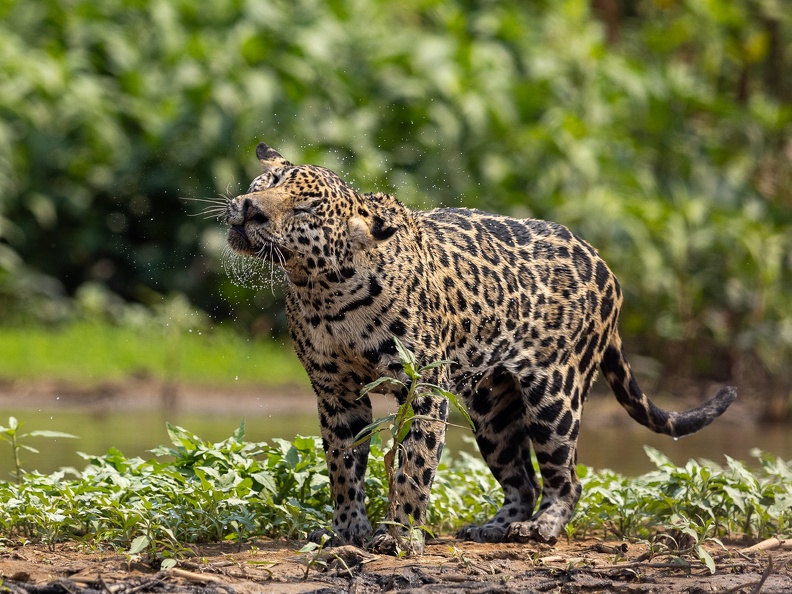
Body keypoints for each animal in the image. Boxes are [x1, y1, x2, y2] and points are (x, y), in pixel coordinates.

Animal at [224, 142, 736, 554]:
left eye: (305, 209)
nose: (249, 208)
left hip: (555, 400)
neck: (323, 291)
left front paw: (400, 535)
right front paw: (347, 531)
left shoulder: (424, 387)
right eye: (269, 182)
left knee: (567, 480)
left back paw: (541, 529)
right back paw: (494, 526)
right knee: (522, 481)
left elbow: (414, 464)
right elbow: (343, 466)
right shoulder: (337, 394)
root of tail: (604, 265)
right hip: (492, 411)